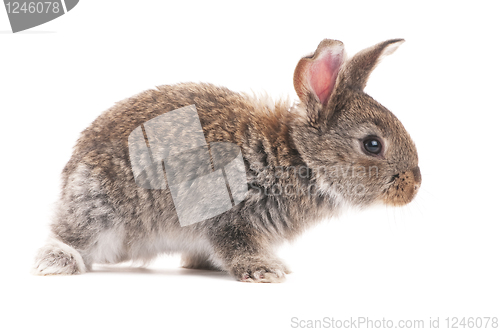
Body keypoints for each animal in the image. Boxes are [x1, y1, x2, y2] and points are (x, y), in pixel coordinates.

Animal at [33, 38, 420, 282]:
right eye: (372, 144)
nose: (414, 186)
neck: (298, 156)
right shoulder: (228, 217)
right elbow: (235, 243)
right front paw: (265, 271)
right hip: (98, 207)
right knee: (70, 235)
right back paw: (57, 261)